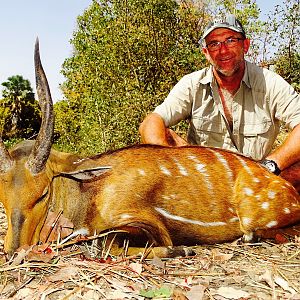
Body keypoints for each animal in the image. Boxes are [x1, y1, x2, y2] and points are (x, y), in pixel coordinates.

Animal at [0, 39, 300, 258]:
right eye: (2, 197)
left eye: (43, 194)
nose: (13, 252)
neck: (89, 194)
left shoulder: (147, 222)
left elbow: (104, 243)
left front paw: (182, 249)